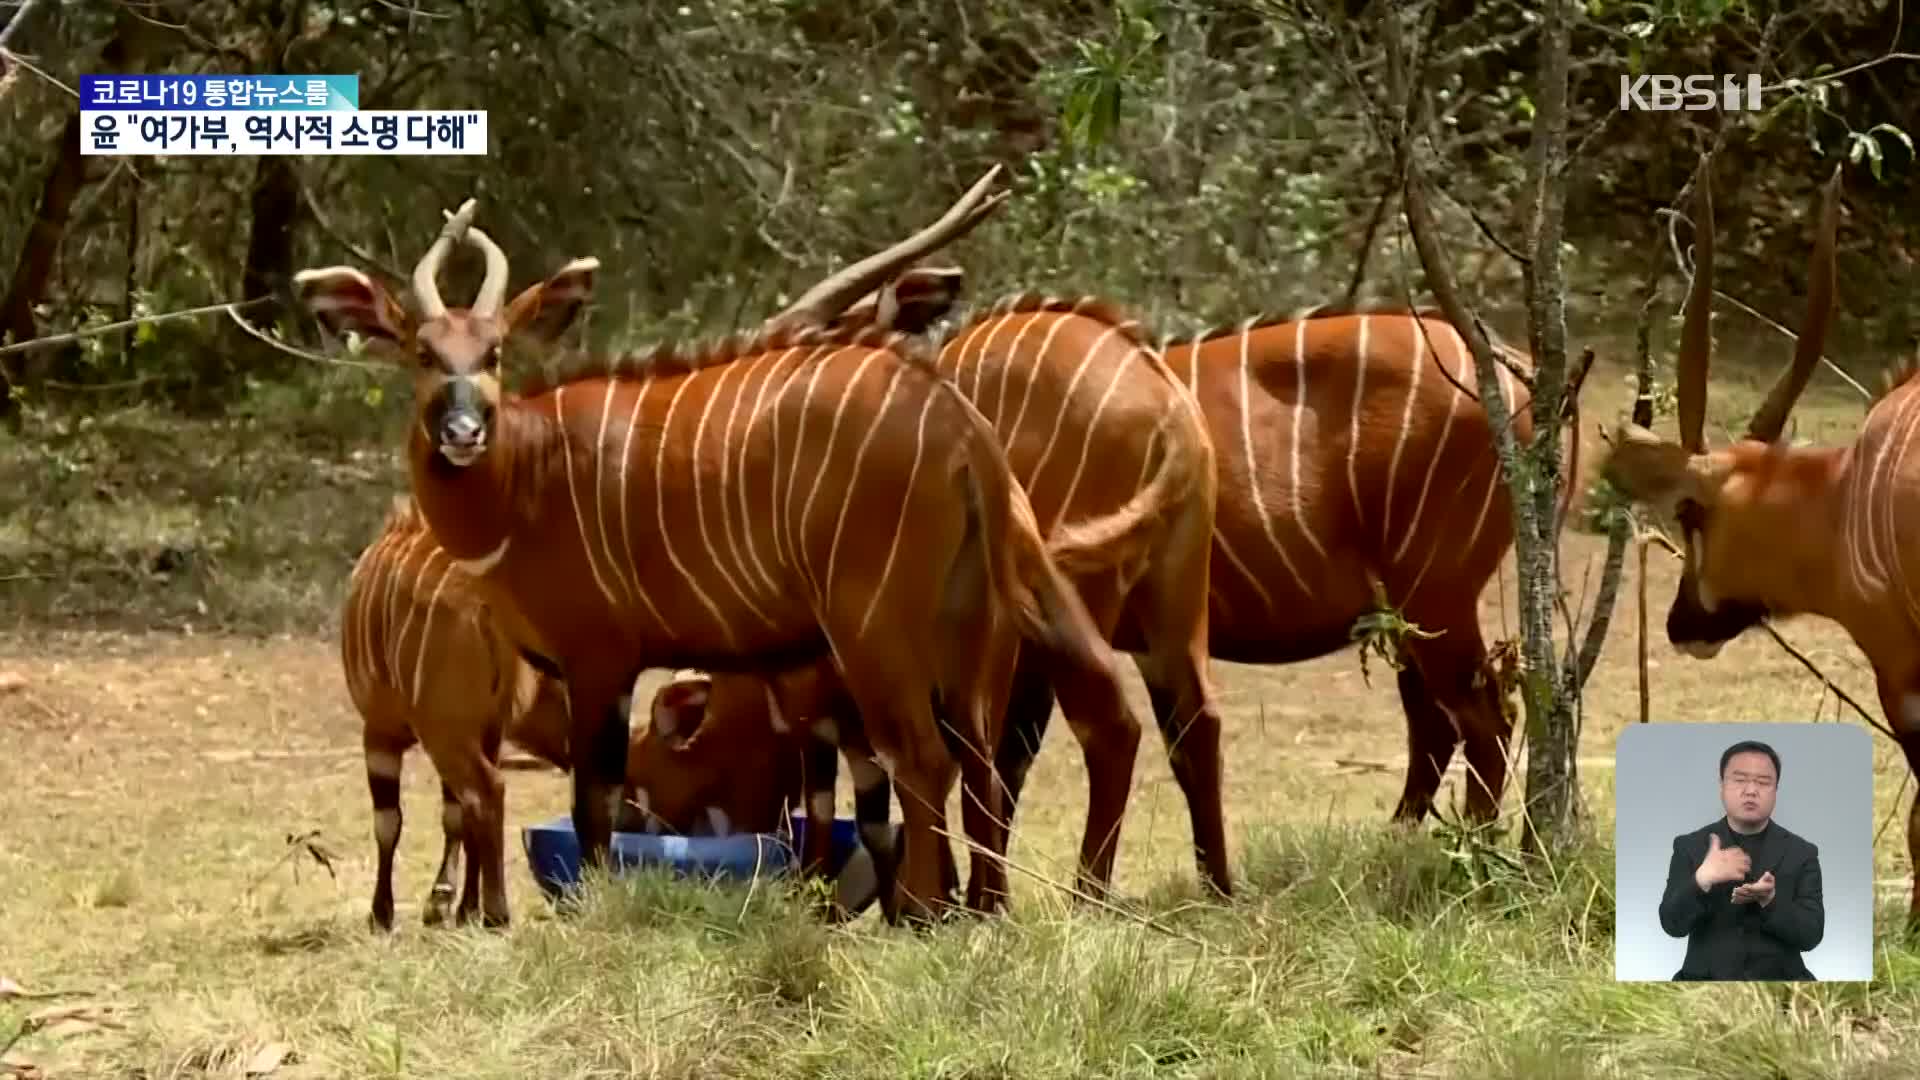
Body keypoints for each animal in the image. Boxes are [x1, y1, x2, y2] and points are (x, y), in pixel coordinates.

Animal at [343, 495, 576, 926]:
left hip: (442, 733)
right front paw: (455, 905)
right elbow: (458, 818)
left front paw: (383, 913)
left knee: (490, 790)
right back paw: (478, 909)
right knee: (477, 803)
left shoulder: (382, 729)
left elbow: (389, 822)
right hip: (463, 735)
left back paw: (497, 912)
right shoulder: (487, 729)